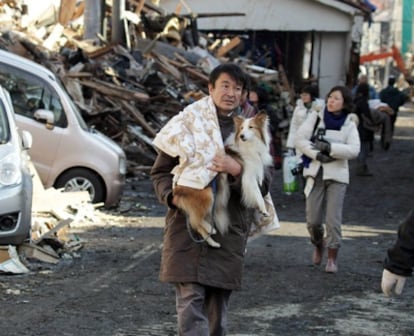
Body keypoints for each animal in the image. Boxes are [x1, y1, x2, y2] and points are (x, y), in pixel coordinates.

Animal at [173, 112, 274, 247]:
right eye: (241, 128)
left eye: (251, 127)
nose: (241, 136)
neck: (249, 145)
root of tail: (177, 189)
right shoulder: (247, 176)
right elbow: (257, 193)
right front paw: (263, 209)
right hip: (208, 195)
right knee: (196, 220)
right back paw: (211, 229)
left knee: (197, 225)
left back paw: (213, 242)